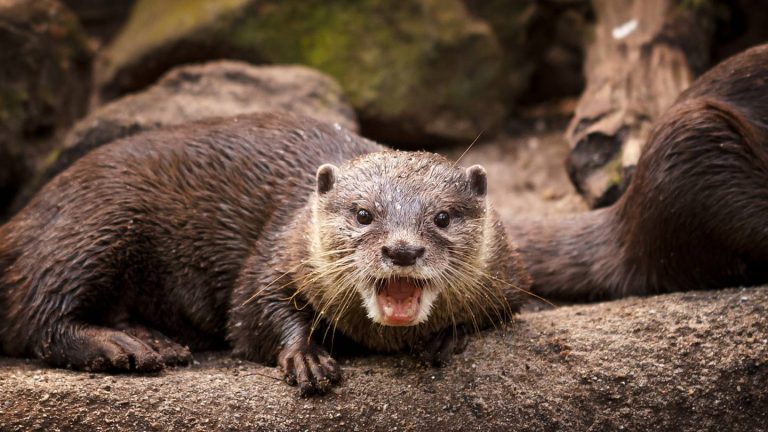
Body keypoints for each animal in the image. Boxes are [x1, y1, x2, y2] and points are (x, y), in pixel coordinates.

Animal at [0, 112, 529, 395]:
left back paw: (153, 341)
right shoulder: (277, 251)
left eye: (442, 217)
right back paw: (123, 347)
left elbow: (501, 309)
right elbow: (252, 314)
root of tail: (24, 216)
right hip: (92, 228)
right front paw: (306, 359)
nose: (402, 249)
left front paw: (446, 337)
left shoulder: (510, 276)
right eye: (363, 213)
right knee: (39, 314)